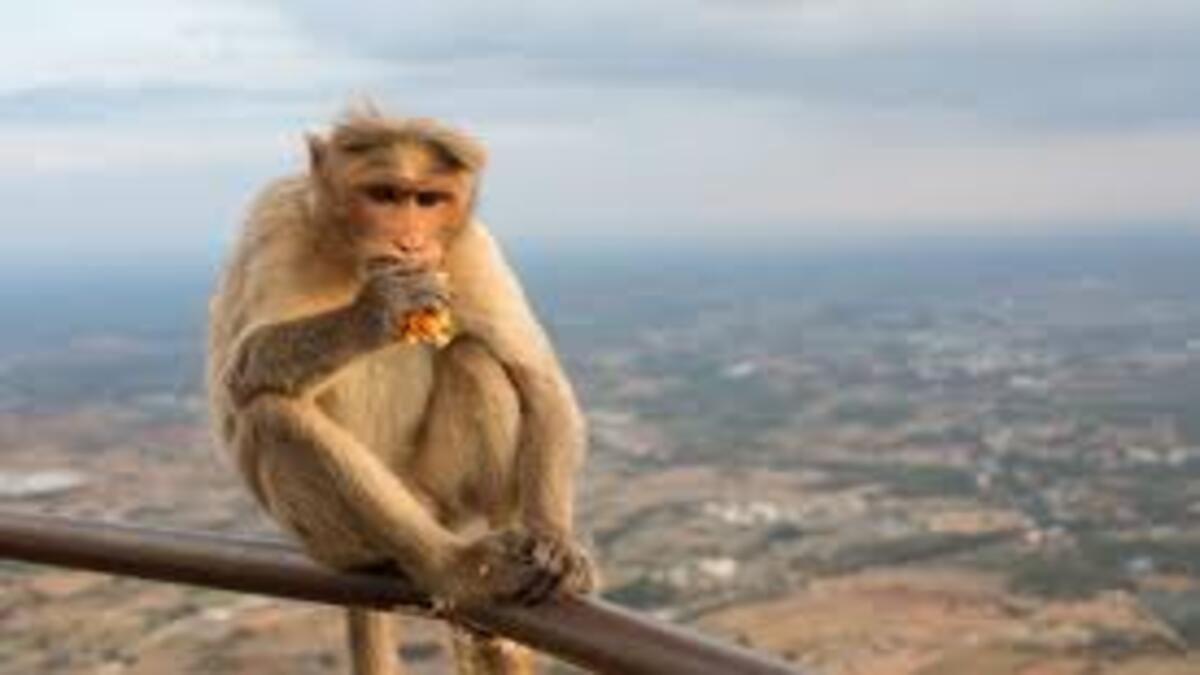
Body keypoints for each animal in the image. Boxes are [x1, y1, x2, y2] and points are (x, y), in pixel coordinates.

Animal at [206, 106, 596, 675]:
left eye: (427, 200)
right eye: (385, 194)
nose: (411, 243)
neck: (348, 254)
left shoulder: (467, 247)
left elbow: (539, 379)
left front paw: (554, 542)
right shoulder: (275, 220)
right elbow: (239, 370)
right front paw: (377, 310)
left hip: (442, 495)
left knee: (475, 359)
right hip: (329, 539)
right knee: (273, 414)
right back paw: (457, 568)